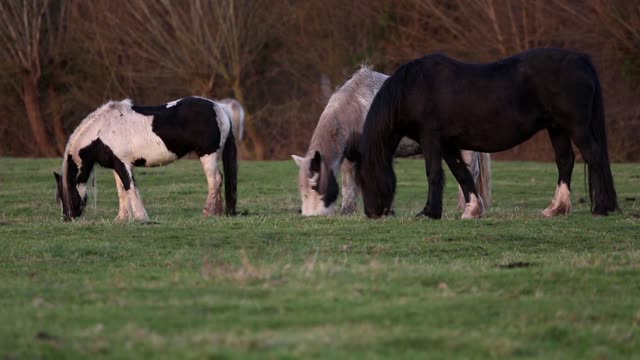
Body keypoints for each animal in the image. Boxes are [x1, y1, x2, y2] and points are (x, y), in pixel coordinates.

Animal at [55, 95, 238, 221]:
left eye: (64, 194)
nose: (67, 218)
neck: (102, 131)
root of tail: (220, 109)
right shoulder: (118, 165)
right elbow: (122, 191)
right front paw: (122, 218)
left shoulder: (123, 164)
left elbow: (130, 188)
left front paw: (140, 217)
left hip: (208, 155)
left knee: (215, 180)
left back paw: (208, 212)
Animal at [292, 65, 492, 217]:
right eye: (301, 187)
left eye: (314, 185)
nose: (311, 215)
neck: (357, 107)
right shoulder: (350, 158)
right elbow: (349, 187)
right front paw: (348, 212)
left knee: (470, 175)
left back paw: (467, 209)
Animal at [348, 48, 616, 218]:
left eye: (367, 178)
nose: (372, 213)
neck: (413, 88)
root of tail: (581, 59)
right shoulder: (447, 143)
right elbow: (461, 173)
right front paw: (472, 210)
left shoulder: (431, 139)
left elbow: (433, 173)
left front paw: (428, 212)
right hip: (557, 127)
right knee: (565, 160)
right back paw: (556, 209)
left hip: (575, 126)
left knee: (594, 156)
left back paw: (602, 208)